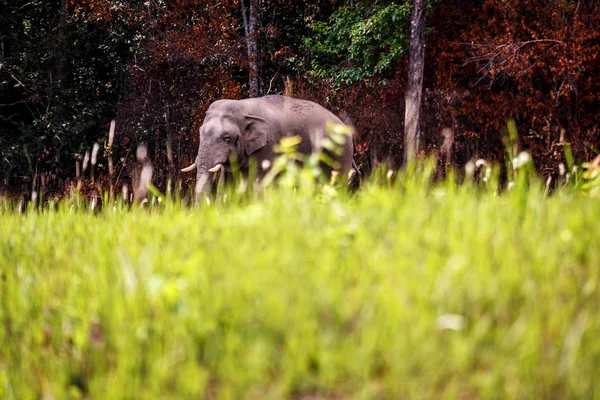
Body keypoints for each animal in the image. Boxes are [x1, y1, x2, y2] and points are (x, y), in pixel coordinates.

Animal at [180, 94, 354, 194]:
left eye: (227, 138)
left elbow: (260, 183)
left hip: (341, 152)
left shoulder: (270, 145)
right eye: (200, 133)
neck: (243, 108)